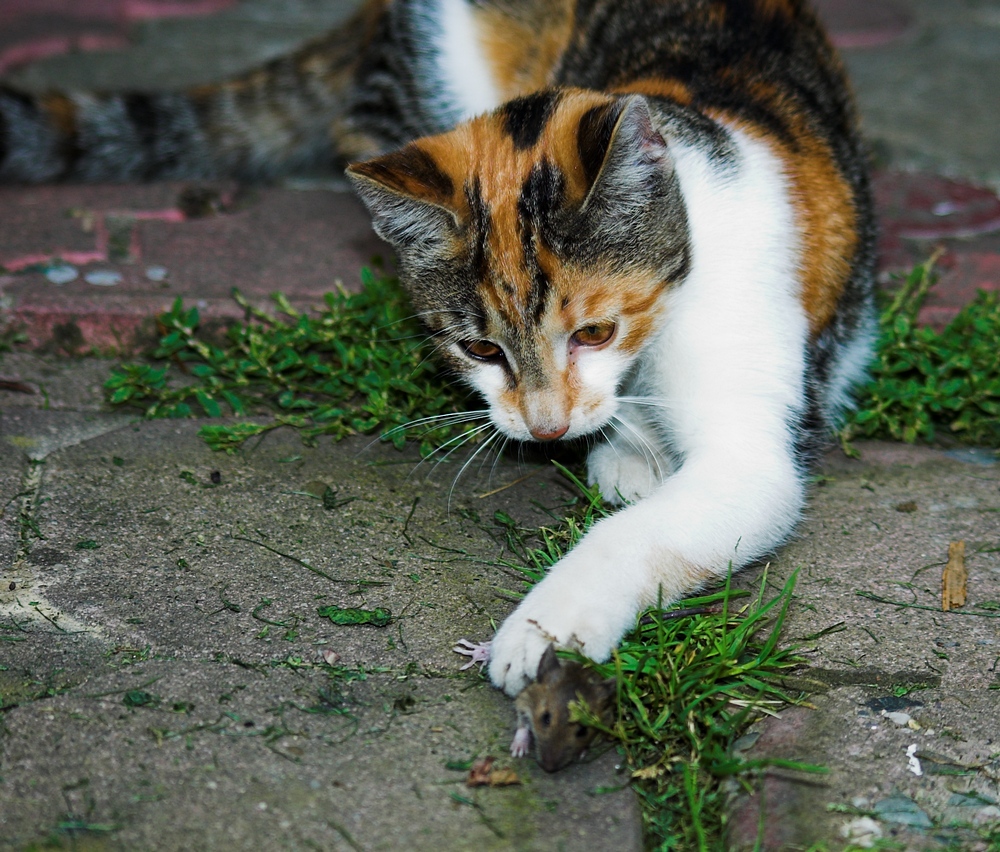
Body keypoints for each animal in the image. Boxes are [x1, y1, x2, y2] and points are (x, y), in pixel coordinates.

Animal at [0, 0, 872, 692]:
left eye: (595, 331)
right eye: (481, 351)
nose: (546, 427)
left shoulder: (747, 397)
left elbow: (673, 511)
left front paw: (545, 628)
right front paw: (628, 453)